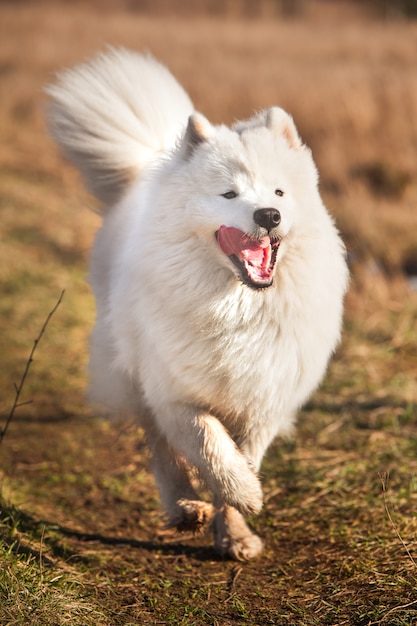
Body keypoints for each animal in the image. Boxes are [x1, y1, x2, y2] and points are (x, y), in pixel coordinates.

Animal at [45, 47, 348, 556]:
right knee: (159, 446)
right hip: (130, 368)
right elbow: (211, 448)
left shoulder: (261, 400)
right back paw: (183, 505)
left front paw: (236, 531)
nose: (269, 215)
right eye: (229, 194)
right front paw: (243, 494)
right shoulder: (177, 393)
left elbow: (239, 457)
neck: (237, 306)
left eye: (279, 192)